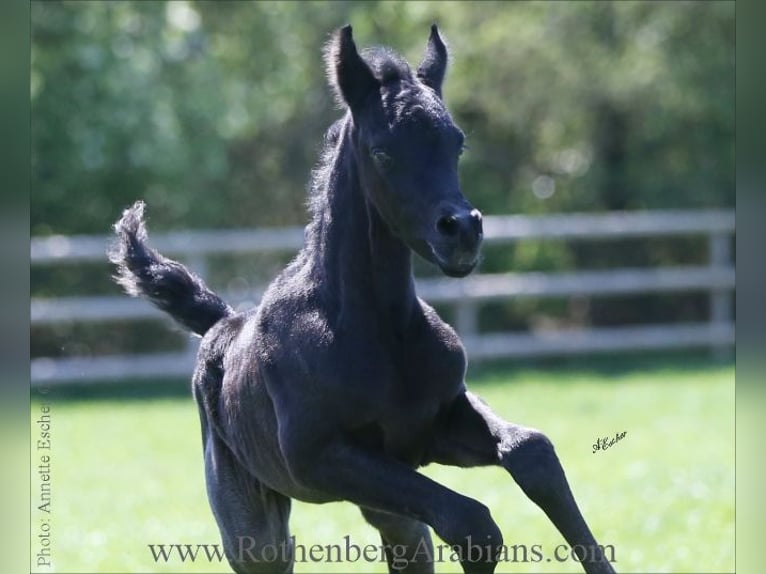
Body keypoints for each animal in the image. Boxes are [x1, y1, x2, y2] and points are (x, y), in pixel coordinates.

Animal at [109, 25, 615, 574]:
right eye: (382, 152)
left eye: (456, 143)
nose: (462, 232)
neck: (380, 328)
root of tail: (222, 324)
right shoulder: (318, 458)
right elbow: (472, 522)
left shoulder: (433, 429)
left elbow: (532, 454)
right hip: (254, 525)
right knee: (269, 550)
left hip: (390, 511)